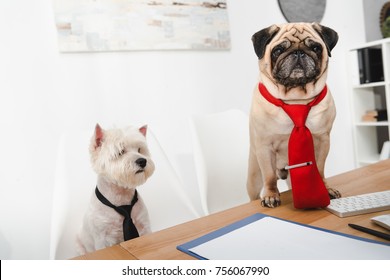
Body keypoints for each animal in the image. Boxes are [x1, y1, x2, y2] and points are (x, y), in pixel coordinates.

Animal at [77, 124, 155, 254]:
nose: (142, 161)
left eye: (139, 150)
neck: (121, 196)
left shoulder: (144, 226)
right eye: (121, 151)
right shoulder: (103, 238)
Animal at [248, 23, 340, 207]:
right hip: (254, 177)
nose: (298, 52)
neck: (296, 99)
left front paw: (326, 189)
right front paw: (271, 195)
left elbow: (320, 169)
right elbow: (269, 176)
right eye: (278, 50)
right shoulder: (265, 147)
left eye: (315, 48)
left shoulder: (323, 141)